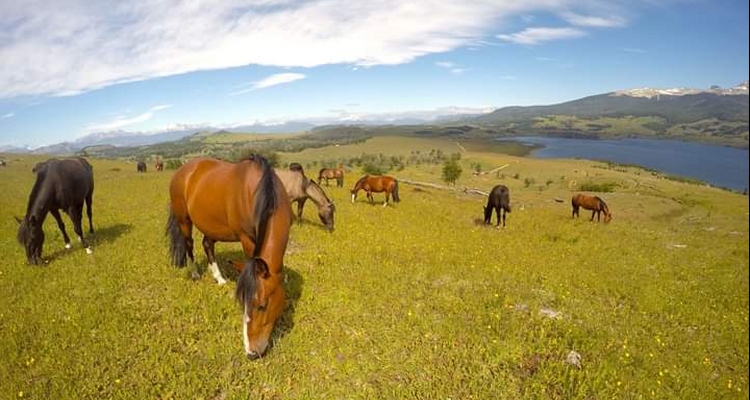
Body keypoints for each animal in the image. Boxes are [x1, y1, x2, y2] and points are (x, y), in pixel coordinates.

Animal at [167, 156, 294, 360]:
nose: (251, 353)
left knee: (207, 244)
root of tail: (183, 170)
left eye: (262, 306)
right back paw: (195, 274)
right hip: (184, 221)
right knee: (189, 244)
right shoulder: (246, 239)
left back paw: (219, 278)